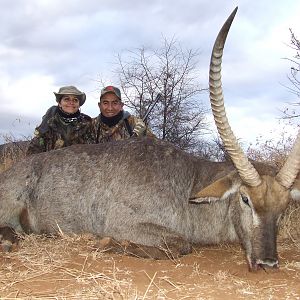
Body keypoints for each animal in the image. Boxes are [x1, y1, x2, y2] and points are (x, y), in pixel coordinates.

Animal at [0, 7, 300, 270]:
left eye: (283, 207)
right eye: (245, 199)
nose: (267, 263)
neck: (189, 183)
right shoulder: (124, 223)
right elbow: (182, 244)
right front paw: (107, 243)